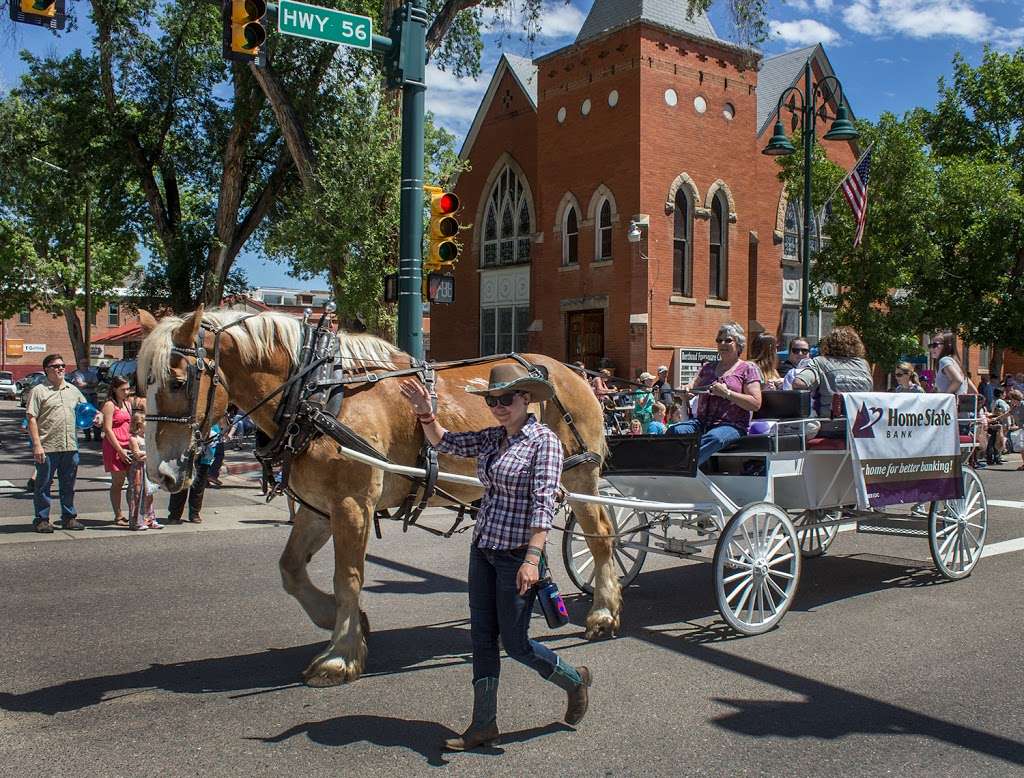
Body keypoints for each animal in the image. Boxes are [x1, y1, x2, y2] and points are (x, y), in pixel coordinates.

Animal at [135, 309, 614, 687]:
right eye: (143, 383)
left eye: (178, 382)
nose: (160, 473)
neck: (318, 394)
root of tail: (572, 371)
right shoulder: (317, 507)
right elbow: (291, 570)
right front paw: (338, 621)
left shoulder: (352, 504)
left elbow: (348, 577)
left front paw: (340, 656)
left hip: (579, 475)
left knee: (602, 536)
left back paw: (603, 614)